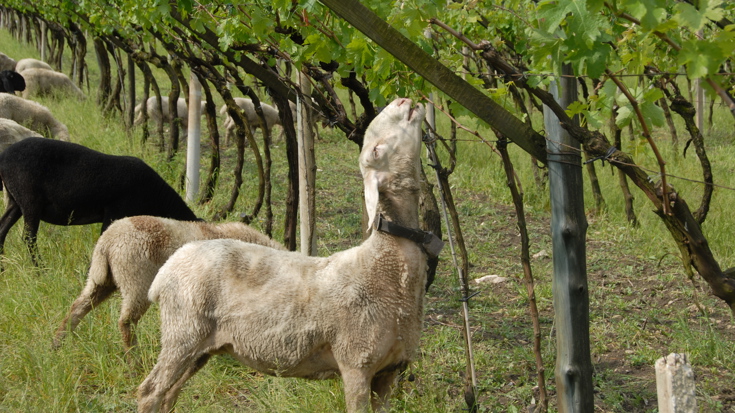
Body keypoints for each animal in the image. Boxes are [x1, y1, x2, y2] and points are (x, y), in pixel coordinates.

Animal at [0, 137, 198, 262]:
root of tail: (4, 156)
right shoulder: (115, 212)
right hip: (29, 198)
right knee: (29, 238)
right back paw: (41, 270)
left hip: (15, 200)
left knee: (2, 229)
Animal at [52, 216, 284, 350]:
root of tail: (106, 242)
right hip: (137, 281)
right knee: (126, 321)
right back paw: (135, 362)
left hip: (100, 279)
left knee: (78, 307)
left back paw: (57, 344)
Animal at [137, 97, 436, 412]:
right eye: (377, 151)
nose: (402, 100)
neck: (385, 265)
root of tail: (168, 267)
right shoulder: (356, 362)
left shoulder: (389, 371)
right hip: (183, 331)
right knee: (151, 392)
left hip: (202, 345)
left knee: (169, 394)